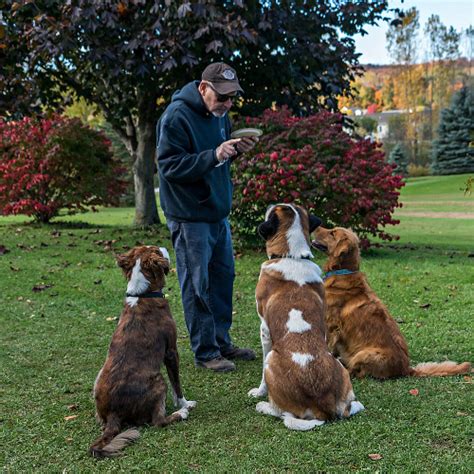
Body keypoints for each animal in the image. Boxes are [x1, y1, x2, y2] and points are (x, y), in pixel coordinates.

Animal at [90, 246, 195, 458]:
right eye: (157, 251)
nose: (164, 246)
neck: (143, 294)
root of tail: (113, 413)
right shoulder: (171, 351)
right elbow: (176, 384)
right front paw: (184, 404)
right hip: (158, 381)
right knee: (158, 422)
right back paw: (180, 414)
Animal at [248, 204, 362, 430]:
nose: (268, 205)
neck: (292, 256)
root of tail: (322, 405)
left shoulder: (264, 329)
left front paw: (259, 392)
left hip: (272, 358)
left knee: (281, 412)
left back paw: (264, 406)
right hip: (341, 369)